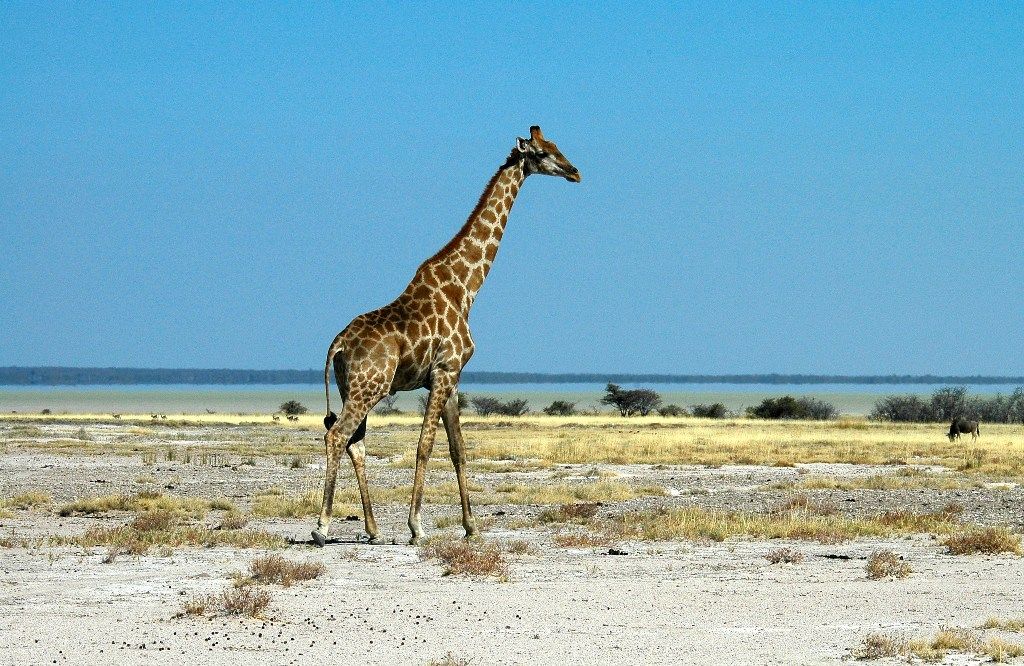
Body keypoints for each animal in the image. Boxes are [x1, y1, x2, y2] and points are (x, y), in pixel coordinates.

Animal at [311, 126, 581, 545]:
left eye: (555, 146)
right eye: (542, 152)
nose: (574, 171)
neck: (466, 288)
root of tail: (336, 345)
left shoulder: (453, 377)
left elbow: (458, 449)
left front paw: (472, 527)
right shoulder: (444, 371)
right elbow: (426, 445)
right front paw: (416, 526)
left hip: (351, 387)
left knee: (356, 443)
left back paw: (372, 529)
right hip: (369, 387)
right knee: (337, 436)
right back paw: (321, 527)